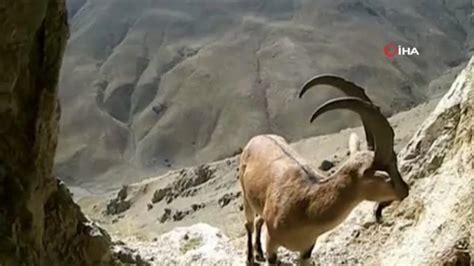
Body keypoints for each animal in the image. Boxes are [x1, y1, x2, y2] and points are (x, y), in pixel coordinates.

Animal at [239, 75, 410, 266]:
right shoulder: (273, 244)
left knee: (259, 219)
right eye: (384, 173)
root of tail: (257, 138)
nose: (405, 190)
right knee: (249, 223)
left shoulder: (306, 250)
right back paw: (250, 258)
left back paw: (258, 252)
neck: (307, 207)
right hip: (245, 193)